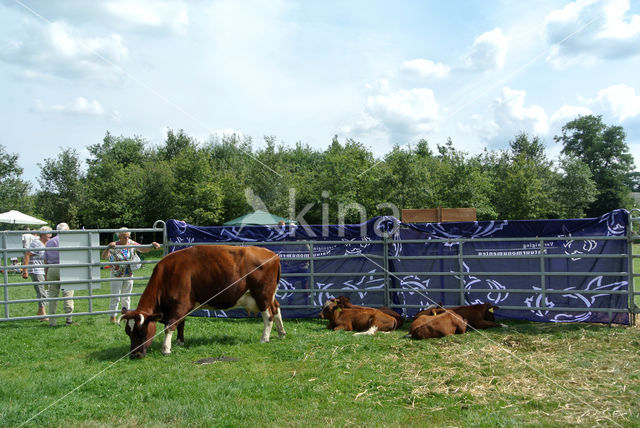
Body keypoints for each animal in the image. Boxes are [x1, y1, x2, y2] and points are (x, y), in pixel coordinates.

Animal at [117, 244, 284, 358]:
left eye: (141, 331)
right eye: (128, 332)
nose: (134, 355)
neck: (167, 274)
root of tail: (272, 254)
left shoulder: (181, 304)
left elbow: (170, 325)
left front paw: (166, 348)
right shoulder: (179, 307)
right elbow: (181, 324)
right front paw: (179, 342)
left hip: (262, 295)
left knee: (268, 316)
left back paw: (264, 338)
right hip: (269, 296)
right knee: (276, 309)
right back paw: (281, 333)